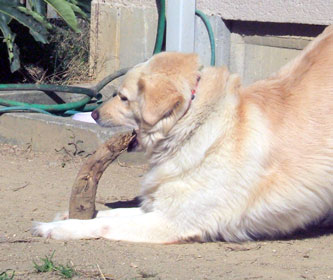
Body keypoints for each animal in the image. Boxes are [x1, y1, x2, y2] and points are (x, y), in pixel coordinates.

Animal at [32, 25, 332, 242]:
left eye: (124, 98)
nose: (93, 114)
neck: (195, 123)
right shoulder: (160, 208)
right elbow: (110, 215)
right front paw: (70, 217)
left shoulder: (172, 221)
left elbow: (104, 226)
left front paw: (57, 229)